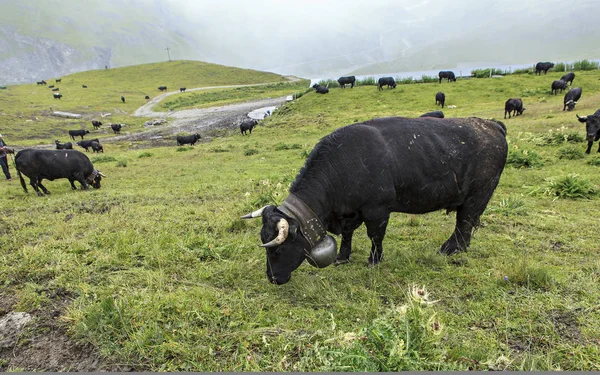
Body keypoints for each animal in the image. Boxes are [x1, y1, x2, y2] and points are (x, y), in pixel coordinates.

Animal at [241, 117, 508, 284]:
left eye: (279, 248)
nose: (272, 278)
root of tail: (491, 124)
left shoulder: (377, 210)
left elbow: (375, 236)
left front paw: (373, 260)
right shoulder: (350, 213)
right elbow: (347, 235)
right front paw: (343, 256)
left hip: (478, 195)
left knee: (464, 222)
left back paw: (450, 249)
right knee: (467, 224)